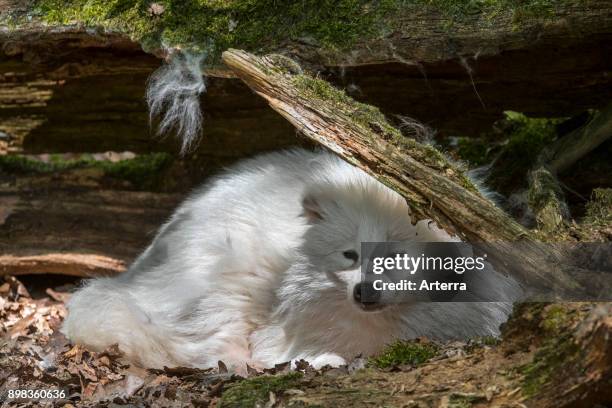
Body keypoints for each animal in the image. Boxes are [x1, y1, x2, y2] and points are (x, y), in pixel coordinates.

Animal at [63, 148, 520, 372]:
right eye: (350, 254)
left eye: (394, 257)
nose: (364, 292)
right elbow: (278, 348)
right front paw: (319, 358)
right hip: (227, 273)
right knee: (203, 347)